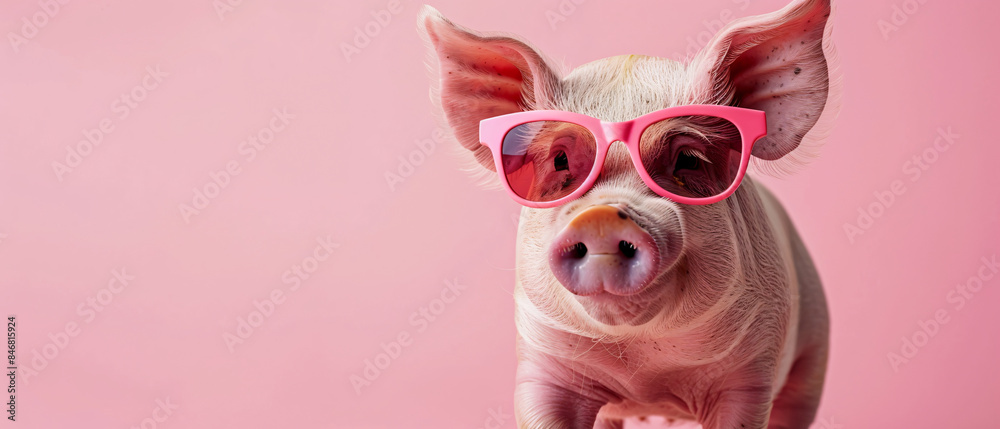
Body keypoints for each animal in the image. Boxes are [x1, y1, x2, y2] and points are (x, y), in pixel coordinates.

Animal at [418, 0, 835, 427]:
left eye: (689, 159)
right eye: (560, 159)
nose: (600, 218)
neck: (645, 375)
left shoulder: (752, 370)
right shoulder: (541, 361)